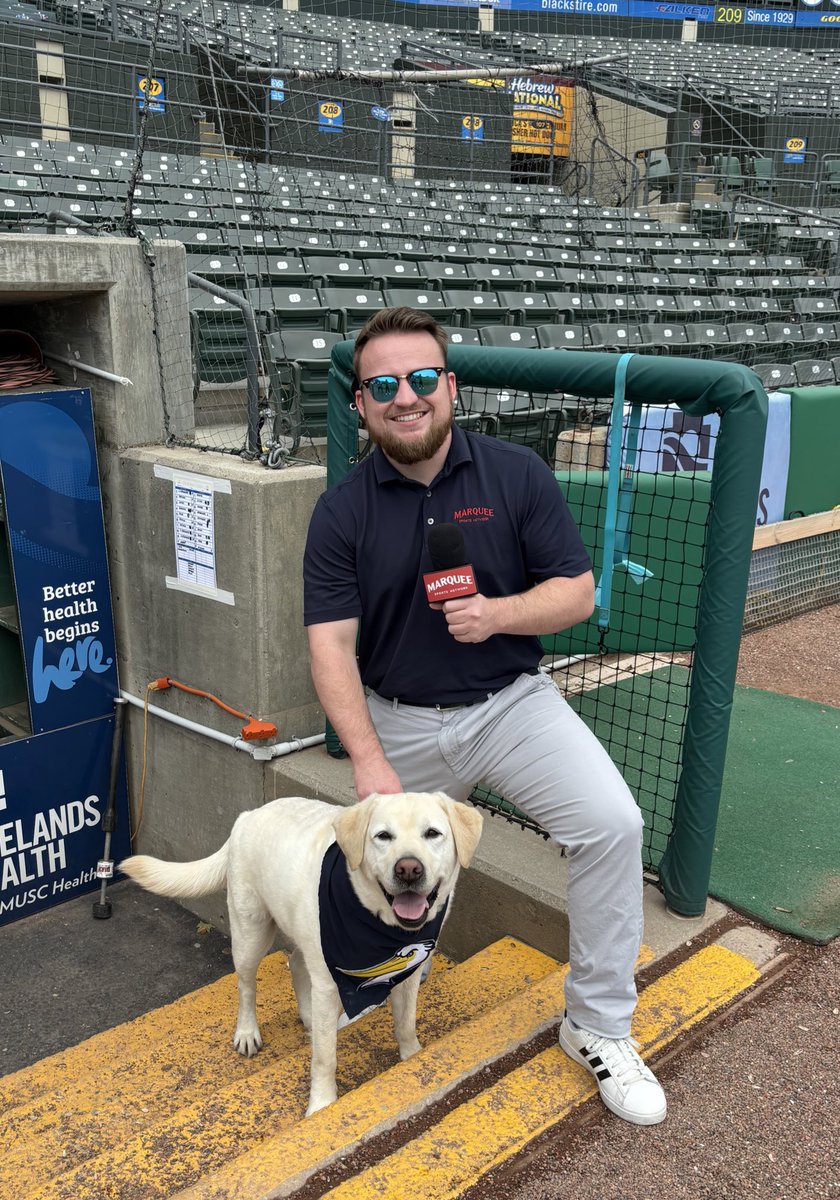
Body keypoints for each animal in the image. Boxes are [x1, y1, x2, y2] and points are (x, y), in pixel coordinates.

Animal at [120, 792, 482, 1118]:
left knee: (296, 963)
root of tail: (246, 816)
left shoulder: (407, 975)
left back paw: (309, 1017)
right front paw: (321, 1104)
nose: (408, 869)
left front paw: (413, 1059)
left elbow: (405, 1025)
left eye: (432, 833)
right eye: (383, 836)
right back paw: (247, 1032)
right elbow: (324, 1058)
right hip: (251, 933)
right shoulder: (330, 981)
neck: (383, 928)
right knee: (246, 986)